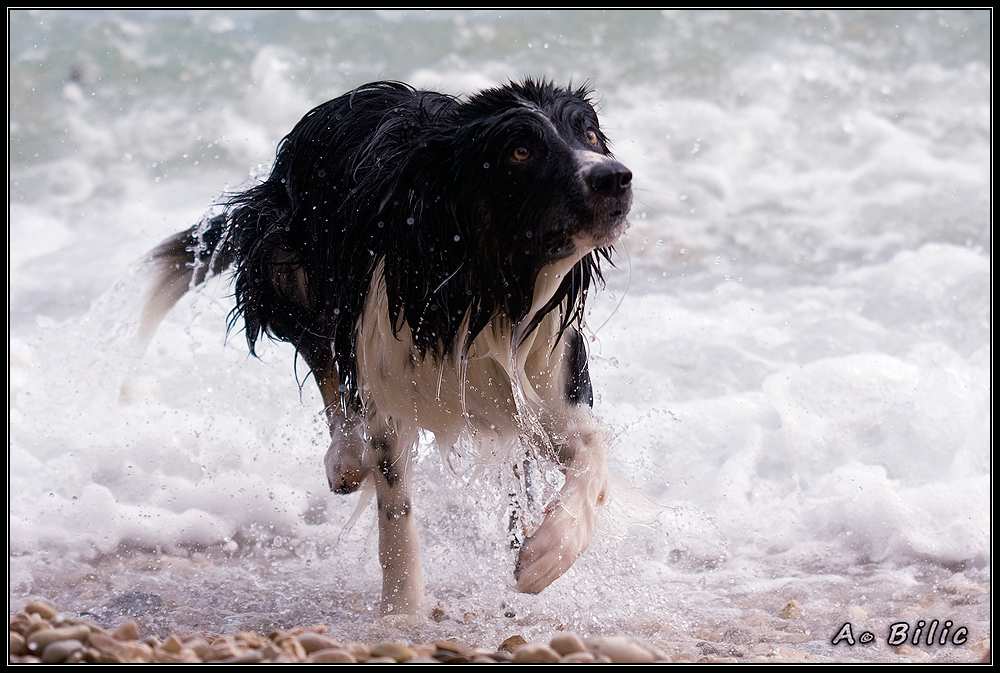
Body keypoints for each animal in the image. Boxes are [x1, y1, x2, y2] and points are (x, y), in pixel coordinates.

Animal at [141, 80, 632, 616]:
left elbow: (590, 454)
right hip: (286, 267)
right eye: (519, 151)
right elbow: (395, 509)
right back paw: (344, 457)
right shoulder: (388, 375)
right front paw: (403, 614)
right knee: (325, 362)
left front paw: (547, 551)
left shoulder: (547, 379)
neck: (486, 291)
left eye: (589, 133)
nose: (616, 178)